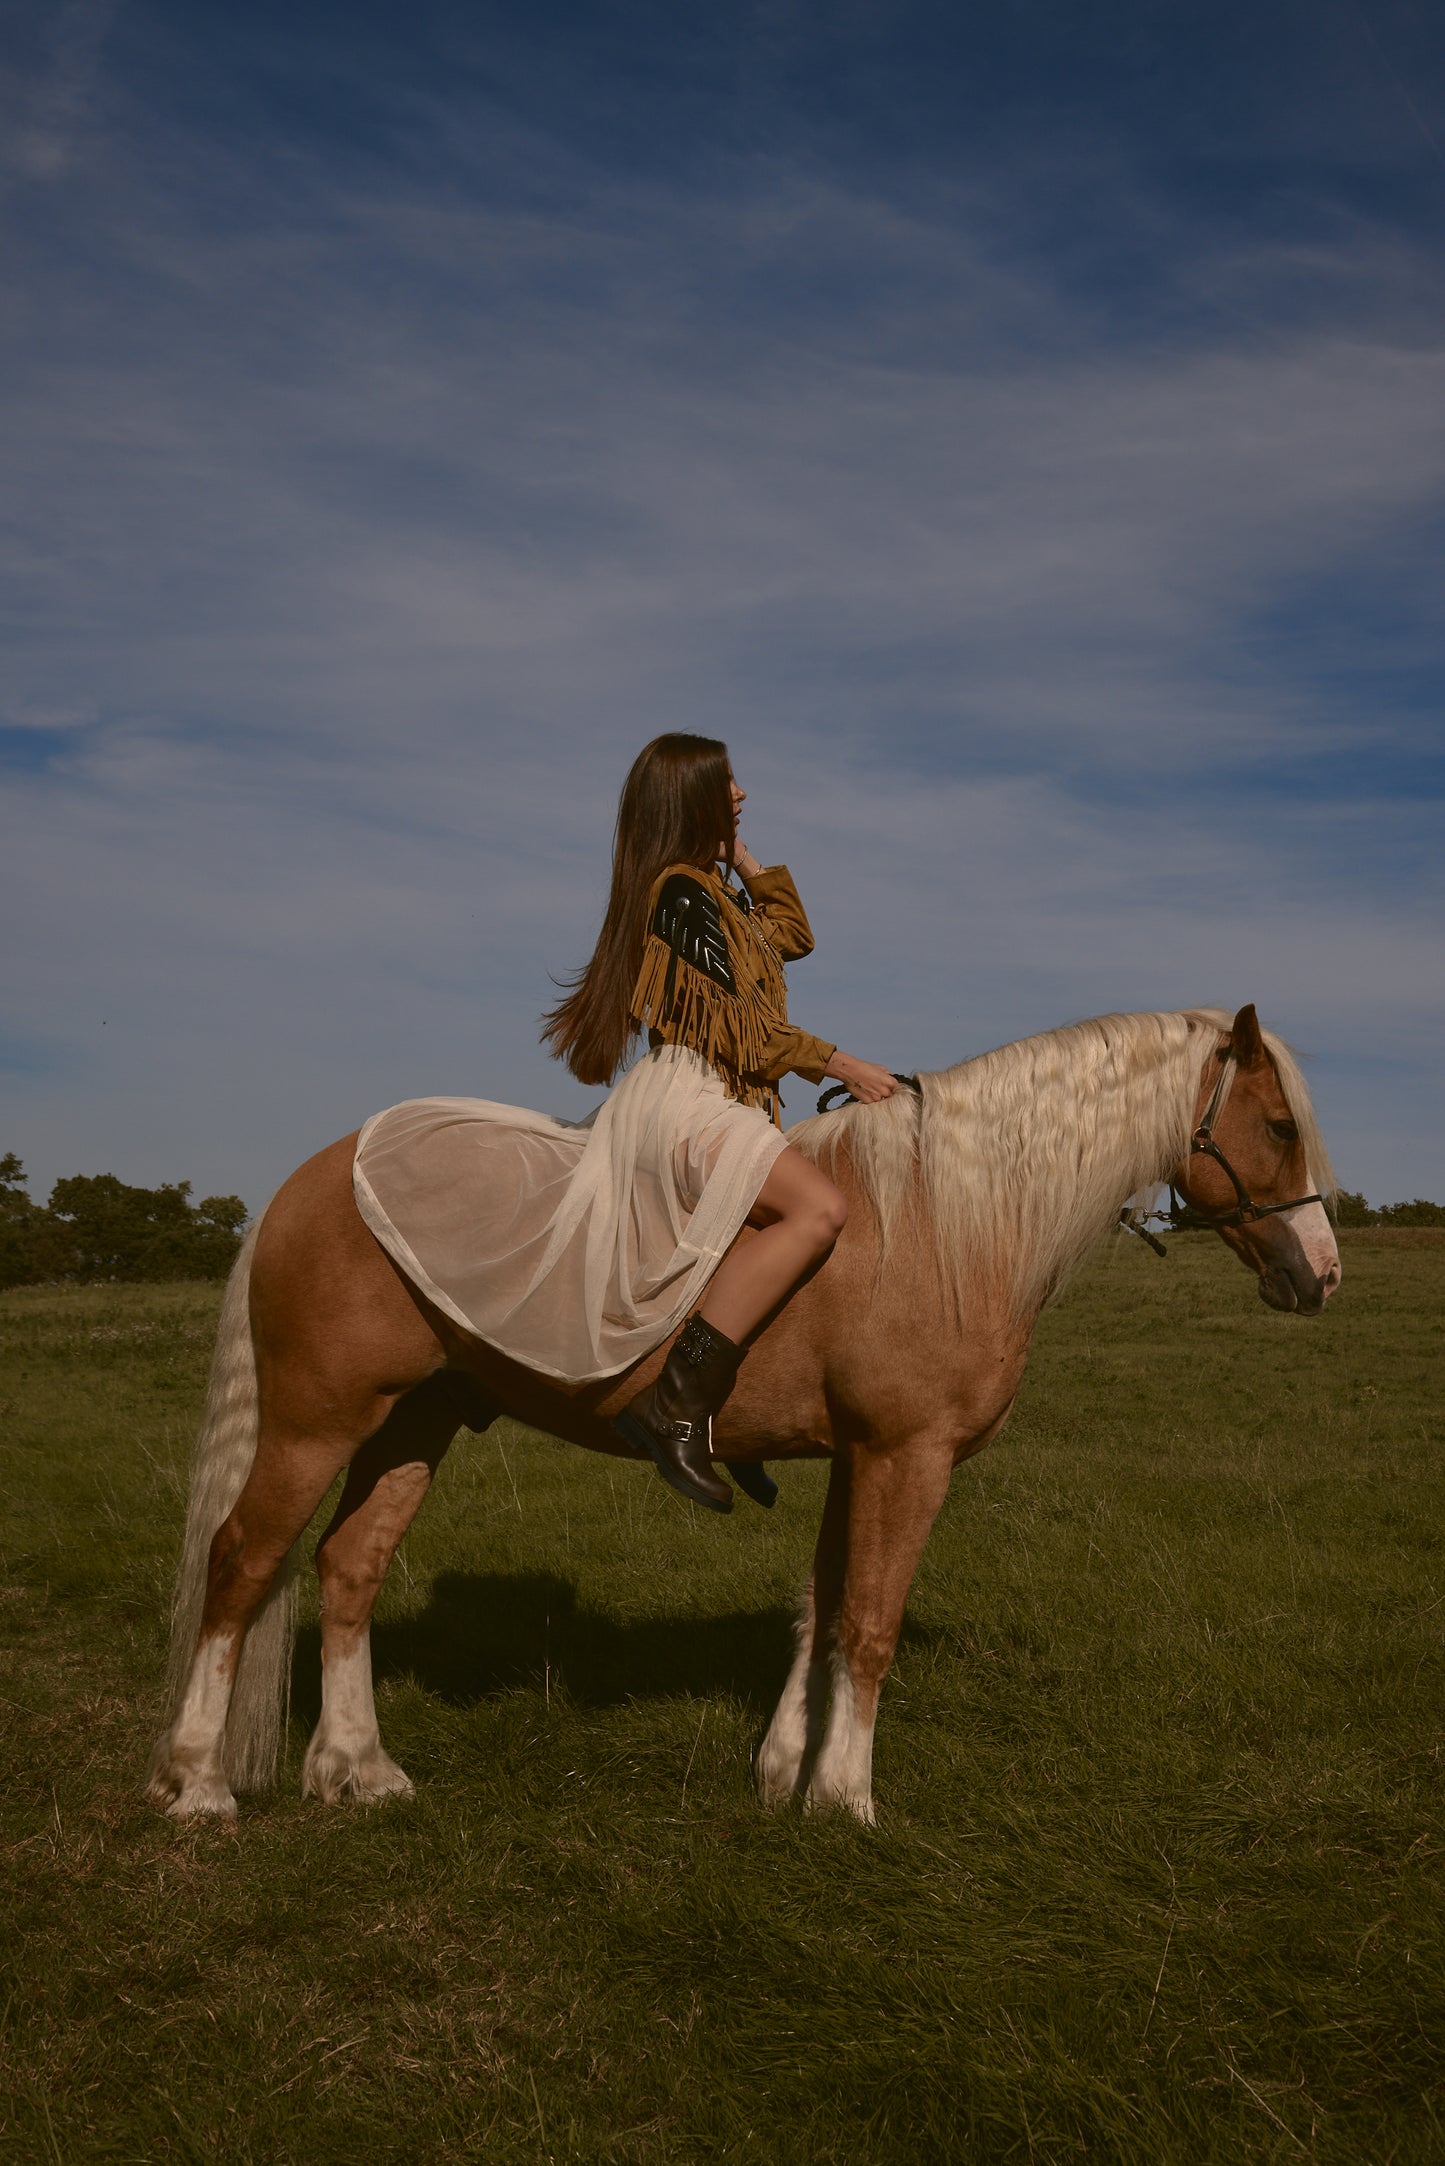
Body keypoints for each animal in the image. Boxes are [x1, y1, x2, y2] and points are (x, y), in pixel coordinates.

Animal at [149, 1005, 1343, 1819]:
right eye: (1279, 1123)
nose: (1322, 1274)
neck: (940, 1221)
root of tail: (317, 1174)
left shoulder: (857, 1457)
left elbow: (823, 1609)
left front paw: (784, 1775)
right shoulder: (907, 1456)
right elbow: (869, 1624)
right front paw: (847, 1799)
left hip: (414, 1422)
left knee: (350, 1566)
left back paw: (356, 1768)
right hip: (315, 1422)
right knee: (242, 1559)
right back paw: (199, 1781)